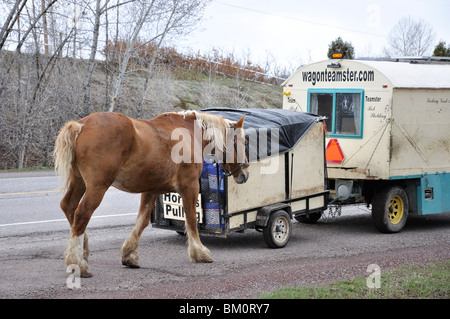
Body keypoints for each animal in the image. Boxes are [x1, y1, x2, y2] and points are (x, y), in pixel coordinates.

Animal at [55, 110, 250, 278]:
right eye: (243, 142)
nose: (245, 174)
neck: (189, 132)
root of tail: (81, 124)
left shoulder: (151, 190)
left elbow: (141, 222)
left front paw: (129, 254)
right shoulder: (190, 187)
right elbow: (191, 219)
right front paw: (199, 252)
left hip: (79, 182)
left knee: (69, 207)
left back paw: (83, 249)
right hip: (97, 187)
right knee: (82, 214)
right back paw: (78, 262)